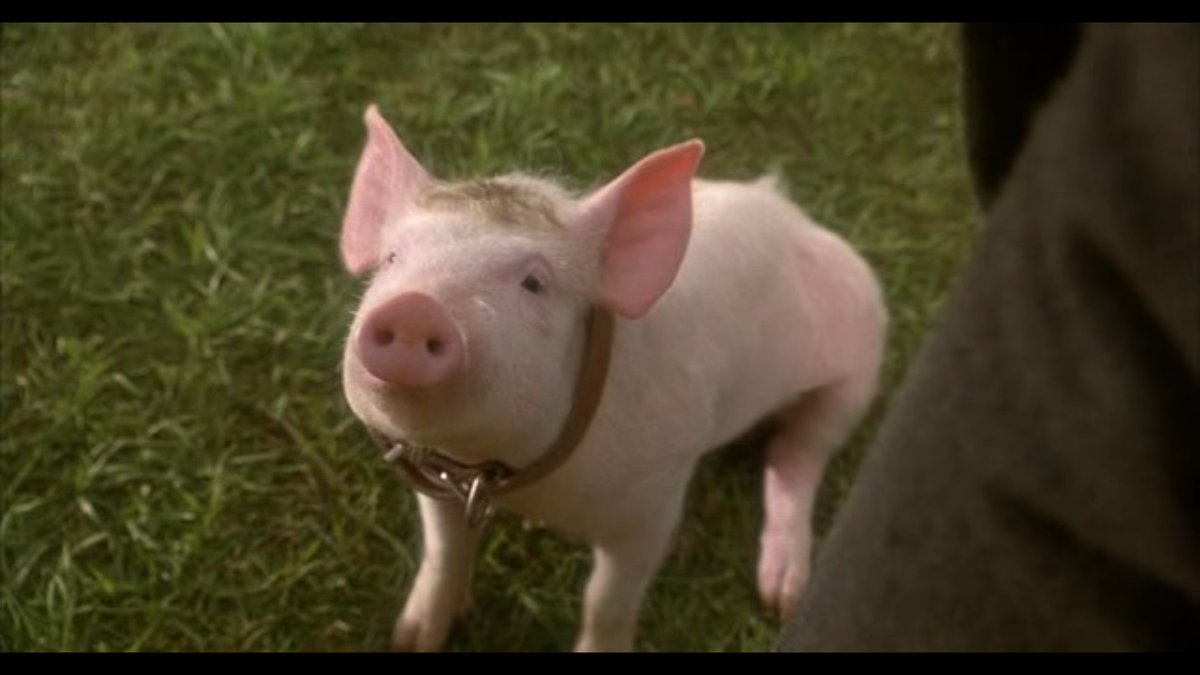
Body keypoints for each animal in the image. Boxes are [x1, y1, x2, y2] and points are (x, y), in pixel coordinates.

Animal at [338, 104, 887, 652]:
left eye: (534, 283)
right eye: (392, 259)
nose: (415, 309)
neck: (515, 475)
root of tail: (794, 215)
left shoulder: (654, 501)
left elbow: (607, 599)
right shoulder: (442, 485)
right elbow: (443, 553)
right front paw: (409, 641)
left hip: (862, 358)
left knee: (799, 452)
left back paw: (782, 599)